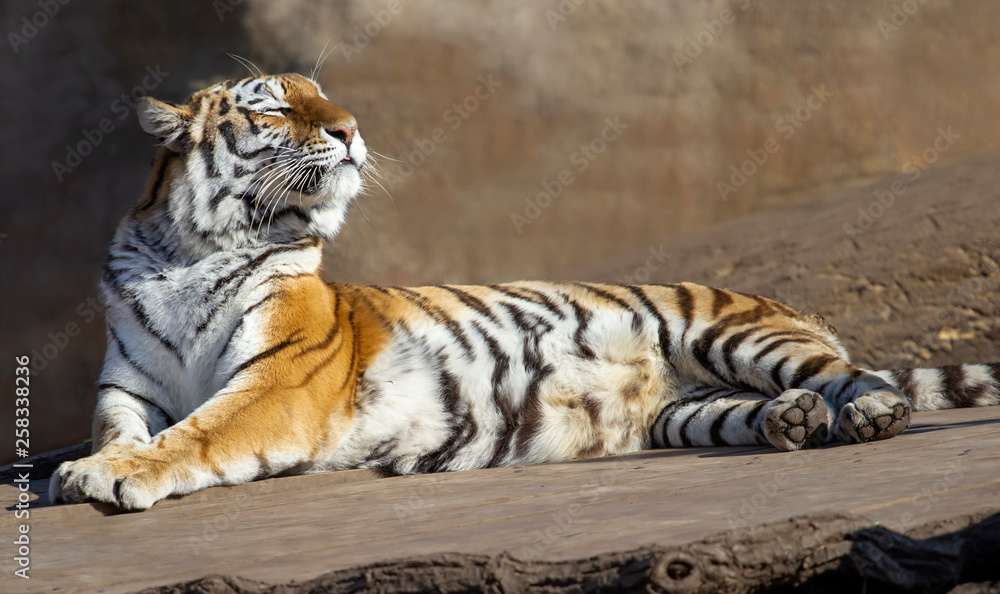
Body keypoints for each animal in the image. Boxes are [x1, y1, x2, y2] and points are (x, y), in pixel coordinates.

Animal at [49, 73, 1000, 511]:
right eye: (277, 108)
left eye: (324, 95)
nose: (352, 129)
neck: (192, 248)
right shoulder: (129, 384)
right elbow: (126, 425)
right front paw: (94, 464)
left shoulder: (277, 383)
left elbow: (198, 434)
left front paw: (108, 476)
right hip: (688, 412)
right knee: (760, 410)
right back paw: (792, 423)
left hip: (735, 333)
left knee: (849, 376)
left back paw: (866, 411)